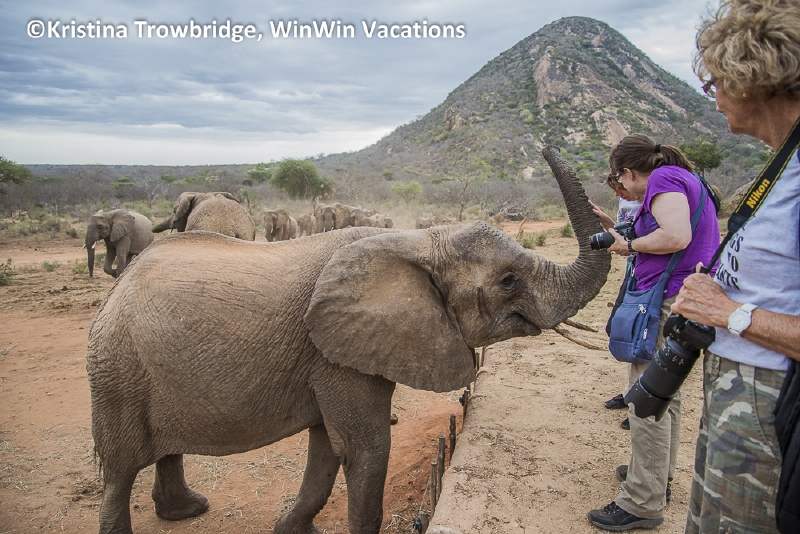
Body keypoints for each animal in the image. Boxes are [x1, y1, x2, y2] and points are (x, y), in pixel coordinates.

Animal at [86, 146, 610, 534]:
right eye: (508, 281)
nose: (544, 144)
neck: (419, 242)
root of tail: (113, 295)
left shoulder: (331, 354)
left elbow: (327, 449)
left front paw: (291, 530)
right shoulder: (339, 354)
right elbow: (365, 449)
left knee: (161, 451)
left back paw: (187, 510)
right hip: (117, 372)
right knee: (119, 470)